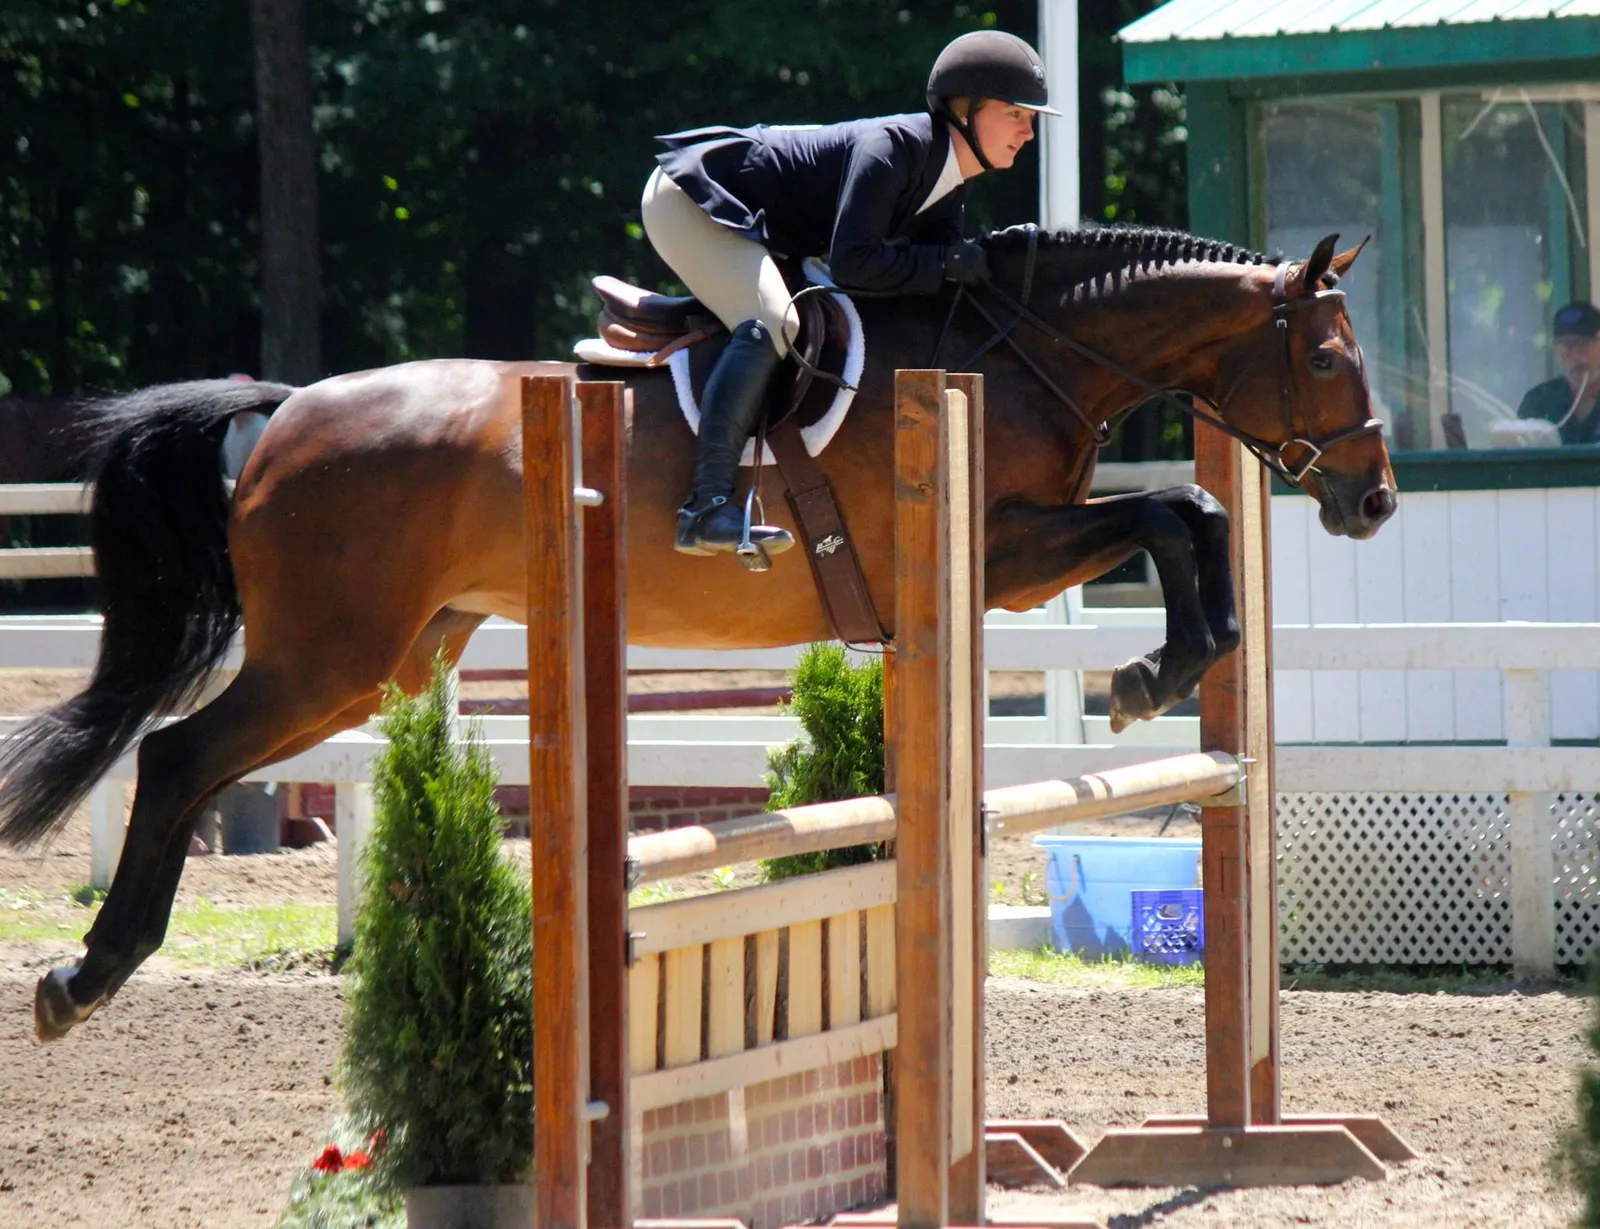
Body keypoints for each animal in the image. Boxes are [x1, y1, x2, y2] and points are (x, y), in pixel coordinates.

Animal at [0, 225, 1395, 1040]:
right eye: (1329, 358)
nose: (1372, 500)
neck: (1021, 348)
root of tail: (285, 409)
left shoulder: (1015, 547)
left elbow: (1192, 511)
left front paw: (1175, 660)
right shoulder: (991, 554)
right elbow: (1171, 507)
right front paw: (1150, 672)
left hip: (391, 660)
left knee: (192, 757)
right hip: (324, 656)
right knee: (176, 754)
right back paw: (88, 974)